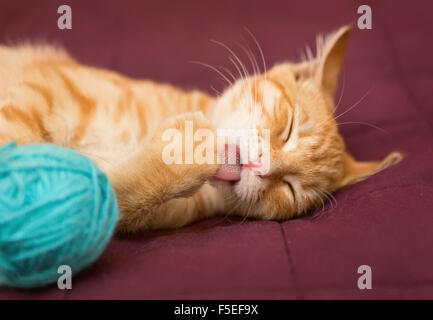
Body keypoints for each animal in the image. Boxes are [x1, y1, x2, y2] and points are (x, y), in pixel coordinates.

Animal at [0, 25, 402, 232]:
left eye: (289, 190)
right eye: (287, 128)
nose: (261, 167)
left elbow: (103, 198)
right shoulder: (40, 95)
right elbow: (15, 159)